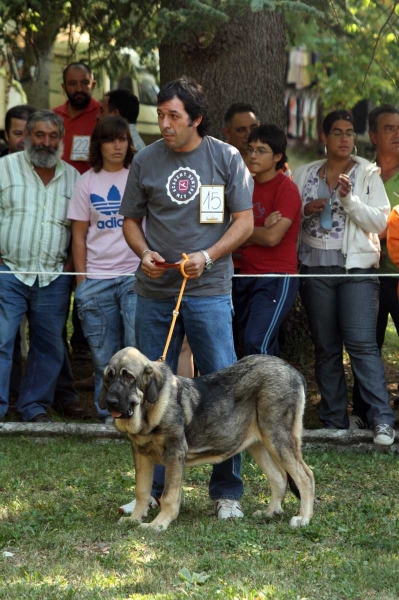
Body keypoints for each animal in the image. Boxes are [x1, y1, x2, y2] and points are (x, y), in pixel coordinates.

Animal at [100, 346, 316, 528]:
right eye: (109, 377)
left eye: (129, 377)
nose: (110, 402)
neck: (148, 411)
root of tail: (294, 372)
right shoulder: (141, 455)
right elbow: (142, 491)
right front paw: (134, 519)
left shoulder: (175, 454)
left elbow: (169, 495)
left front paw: (158, 525)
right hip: (259, 444)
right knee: (279, 478)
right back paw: (269, 512)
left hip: (278, 438)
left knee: (305, 477)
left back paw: (303, 519)